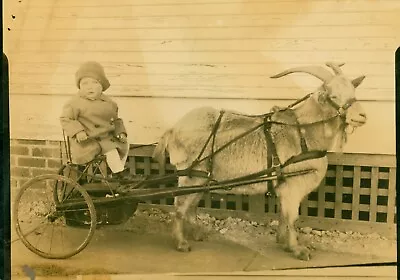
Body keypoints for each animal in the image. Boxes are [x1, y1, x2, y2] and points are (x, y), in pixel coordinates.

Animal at [152, 63, 368, 260]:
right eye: (333, 96)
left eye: (353, 91)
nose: (362, 116)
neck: (302, 132)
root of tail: (172, 129)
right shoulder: (293, 187)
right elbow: (292, 218)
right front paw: (298, 249)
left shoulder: (284, 187)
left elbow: (283, 215)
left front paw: (283, 242)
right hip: (190, 174)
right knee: (180, 205)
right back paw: (181, 242)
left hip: (202, 177)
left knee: (191, 204)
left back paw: (197, 233)